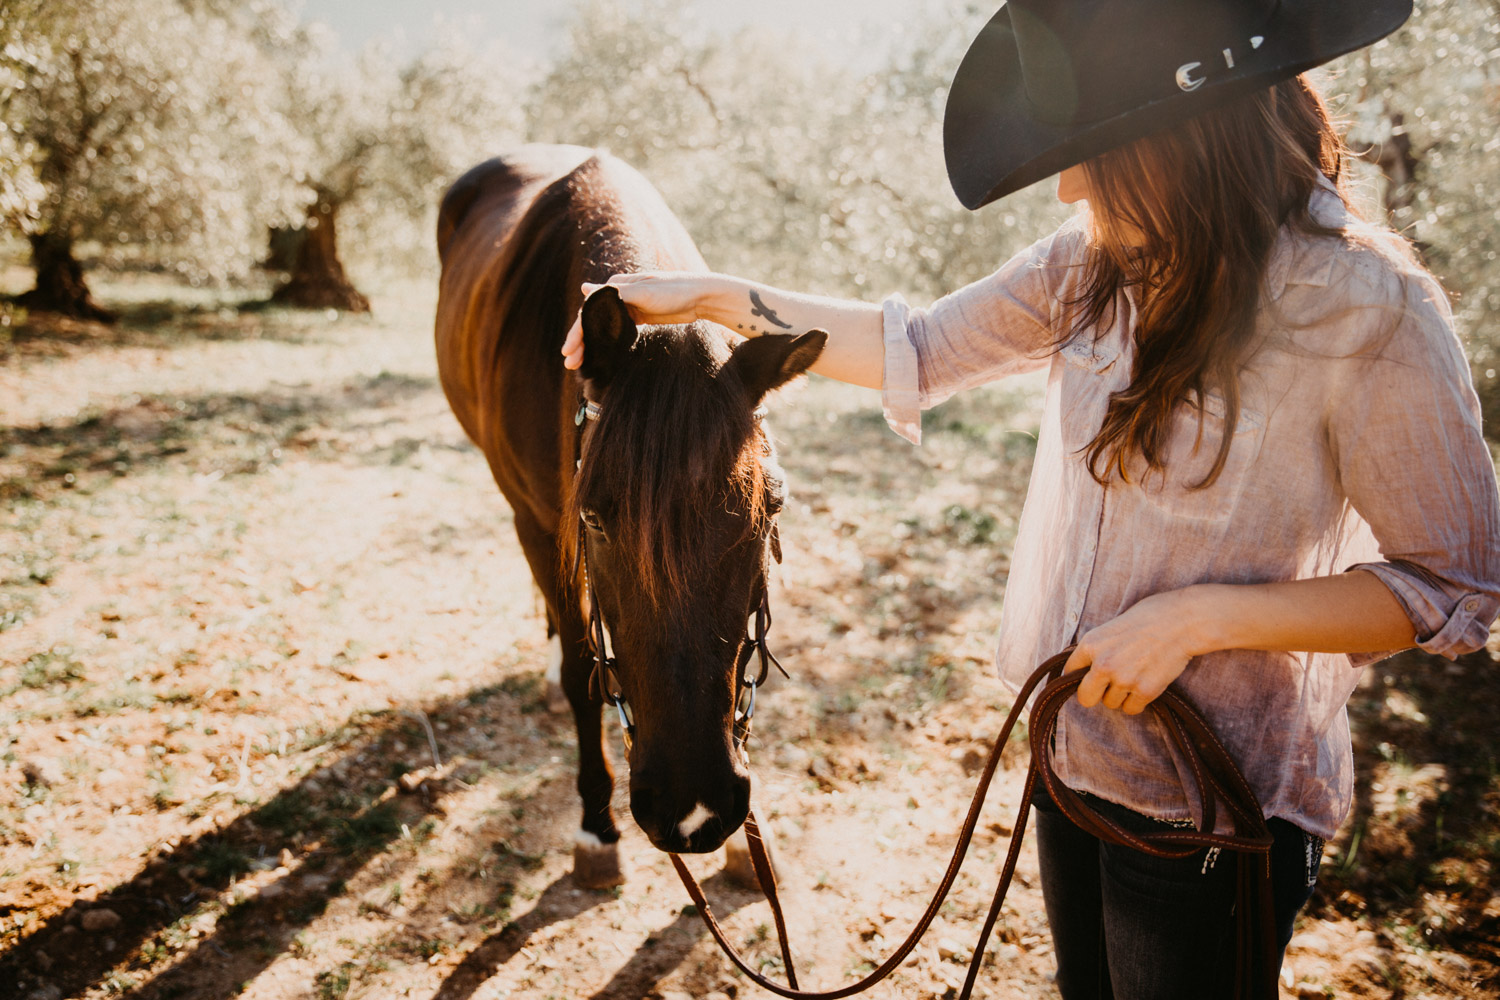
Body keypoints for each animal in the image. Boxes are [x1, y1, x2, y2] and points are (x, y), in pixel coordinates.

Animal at [435, 144, 828, 887]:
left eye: (771, 511)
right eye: (593, 519)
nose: (693, 804)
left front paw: (751, 840)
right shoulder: (542, 526)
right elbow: (582, 676)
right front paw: (595, 828)